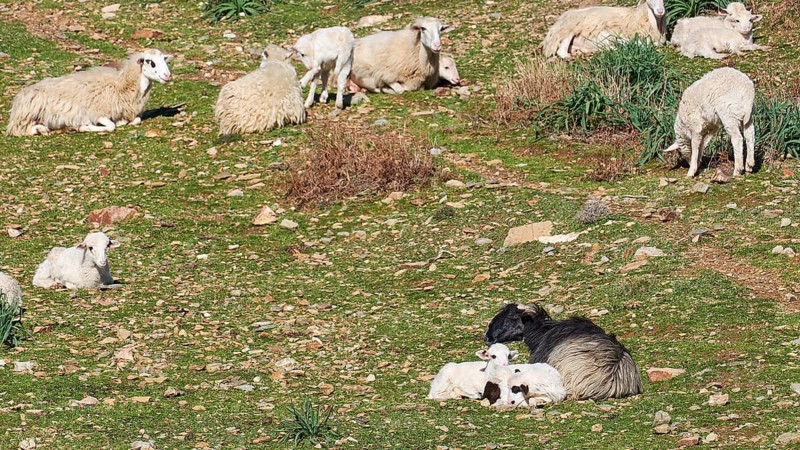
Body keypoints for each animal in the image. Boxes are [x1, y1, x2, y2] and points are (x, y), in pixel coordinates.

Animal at [6, 49, 172, 136]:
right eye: (150, 62)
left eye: (164, 59)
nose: (167, 75)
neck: (122, 86)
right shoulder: (97, 112)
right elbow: (110, 126)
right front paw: (83, 127)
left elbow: (134, 120)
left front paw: (122, 121)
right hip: (26, 117)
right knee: (24, 130)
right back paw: (41, 129)